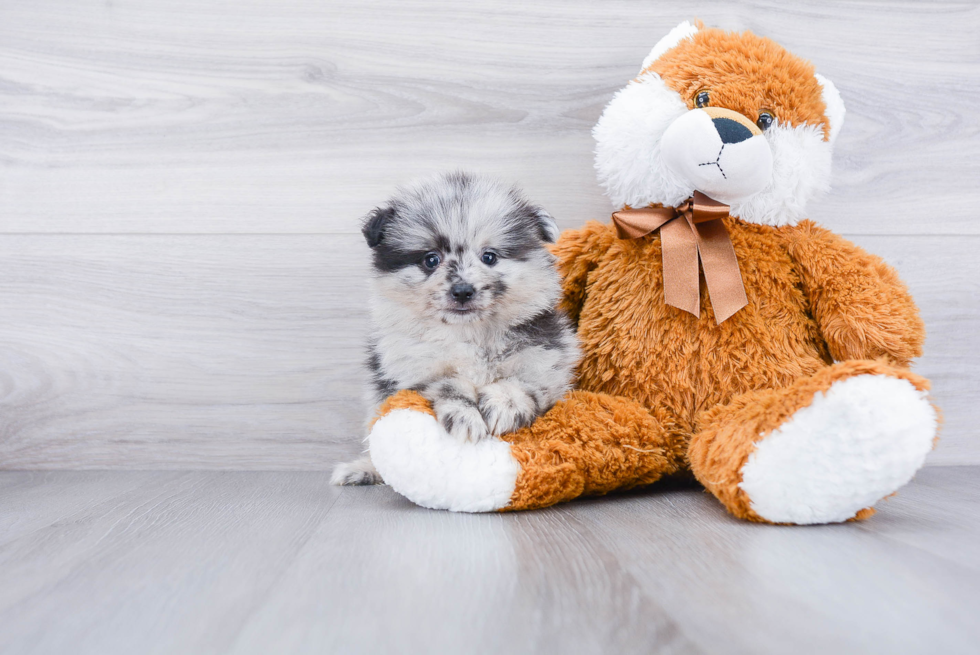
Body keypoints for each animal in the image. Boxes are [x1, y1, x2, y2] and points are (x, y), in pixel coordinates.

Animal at [334, 172, 580, 484]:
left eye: (489, 257)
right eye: (431, 259)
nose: (462, 291)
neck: (469, 334)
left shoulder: (548, 363)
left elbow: (522, 381)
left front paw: (505, 405)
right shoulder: (413, 370)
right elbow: (449, 384)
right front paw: (465, 417)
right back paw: (364, 469)